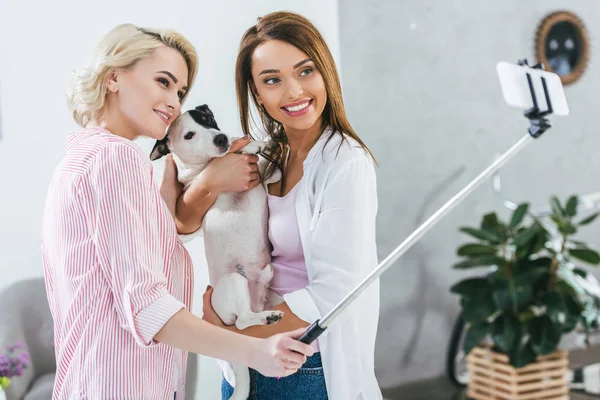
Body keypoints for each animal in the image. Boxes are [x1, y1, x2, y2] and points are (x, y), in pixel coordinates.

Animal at [150, 104, 282, 400]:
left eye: (208, 119)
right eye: (189, 135)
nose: (219, 138)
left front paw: (261, 141)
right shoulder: (199, 185)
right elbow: (223, 159)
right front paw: (248, 144)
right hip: (235, 281)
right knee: (243, 322)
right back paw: (266, 317)